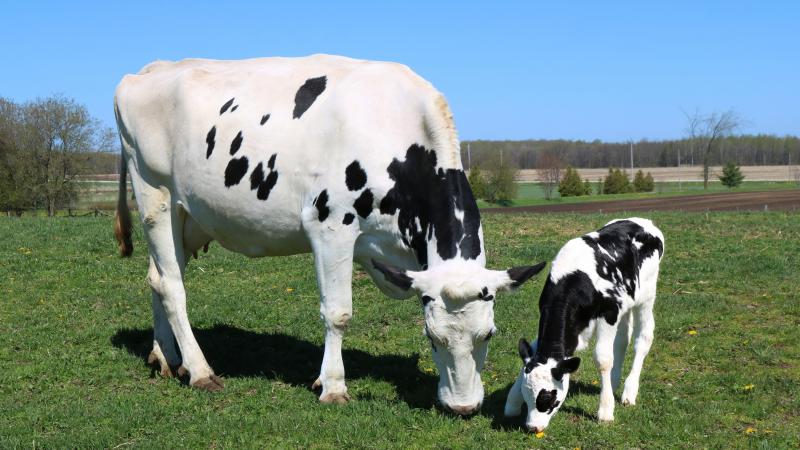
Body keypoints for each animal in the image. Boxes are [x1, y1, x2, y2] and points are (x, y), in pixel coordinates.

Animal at [113, 54, 545, 415]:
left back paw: (165, 357)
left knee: (157, 278)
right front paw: (334, 386)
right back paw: (200, 370)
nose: (463, 407)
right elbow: (338, 313)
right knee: (172, 287)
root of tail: (150, 69)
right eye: (432, 337)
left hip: (189, 217)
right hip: (155, 196)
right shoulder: (330, 227)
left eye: (488, 335)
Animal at [504, 218, 664, 432]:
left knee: (643, 338)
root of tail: (644, 222)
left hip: (646, 296)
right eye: (527, 395)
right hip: (626, 303)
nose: (533, 427)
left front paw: (605, 411)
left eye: (550, 398)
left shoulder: (609, 313)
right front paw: (512, 402)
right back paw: (613, 383)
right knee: (623, 339)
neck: (574, 280)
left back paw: (629, 392)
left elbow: (603, 358)